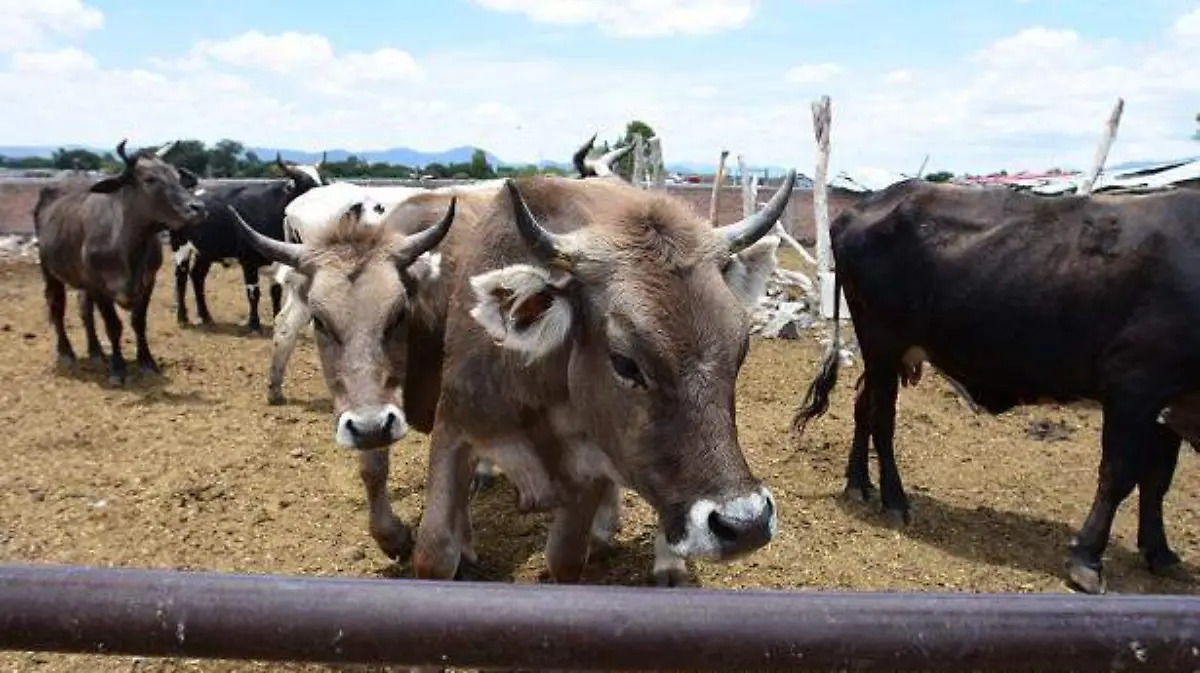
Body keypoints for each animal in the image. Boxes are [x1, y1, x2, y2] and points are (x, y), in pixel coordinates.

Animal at [34, 139, 206, 386]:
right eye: (150, 179)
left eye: (176, 176)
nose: (198, 208)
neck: (131, 248)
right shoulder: (98, 286)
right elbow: (113, 326)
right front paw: (118, 368)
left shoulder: (148, 281)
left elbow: (138, 322)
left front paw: (147, 362)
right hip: (49, 269)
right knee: (57, 306)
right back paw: (66, 353)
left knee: (84, 310)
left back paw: (96, 352)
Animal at [167, 153, 328, 333]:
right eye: (305, 187)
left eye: (321, 184)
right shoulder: (248, 260)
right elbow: (253, 292)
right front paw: (254, 324)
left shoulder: (277, 260)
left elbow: (276, 292)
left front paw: (276, 321)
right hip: (180, 244)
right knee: (181, 278)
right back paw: (182, 318)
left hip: (206, 250)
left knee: (197, 276)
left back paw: (206, 317)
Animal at [235, 169, 796, 584]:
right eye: (624, 361)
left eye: (741, 349)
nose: (744, 523)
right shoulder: (446, 426)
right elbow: (429, 544)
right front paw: (422, 543)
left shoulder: (587, 466)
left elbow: (564, 559)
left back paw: (663, 561)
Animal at [791, 178, 1200, 595]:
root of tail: (870, 202)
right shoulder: (1134, 386)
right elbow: (1119, 475)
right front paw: (1087, 559)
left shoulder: (1171, 403)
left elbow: (1157, 480)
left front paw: (1160, 553)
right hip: (882, 341)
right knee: (881, 420)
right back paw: (894, 501)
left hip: (884, 355)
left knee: (864, 408)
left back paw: (859, 485)